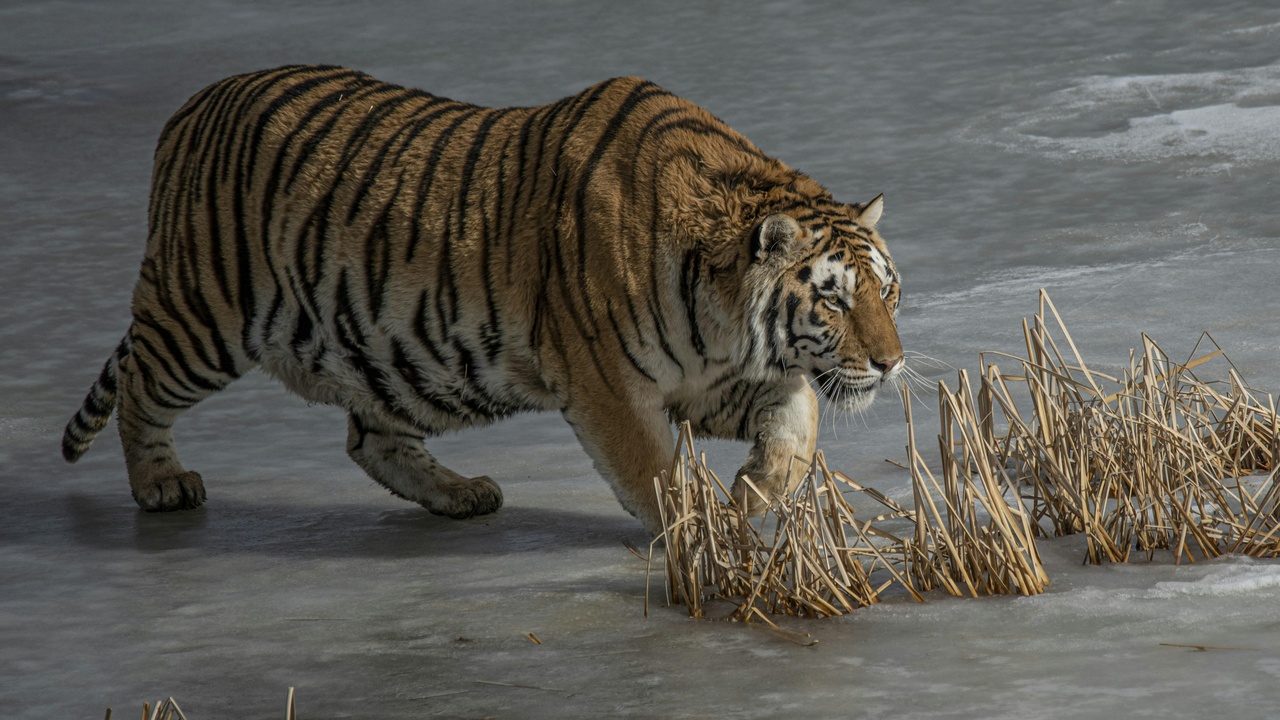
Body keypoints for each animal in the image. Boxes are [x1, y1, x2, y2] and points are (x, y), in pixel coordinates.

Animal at [61, 65, 904, 536]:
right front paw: (704, 533)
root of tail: (188, 110)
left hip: (396, 358)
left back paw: (462, 493)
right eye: (832, 301)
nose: (892, 364)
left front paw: (755, 493)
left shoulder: (711, 377)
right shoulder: (608, 383)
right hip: (203, 317)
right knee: (141, 387)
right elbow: (654, 469)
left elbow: (799, 416)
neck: (722, 312)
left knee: (368, 439)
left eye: (888, 293)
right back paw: (161, 483)